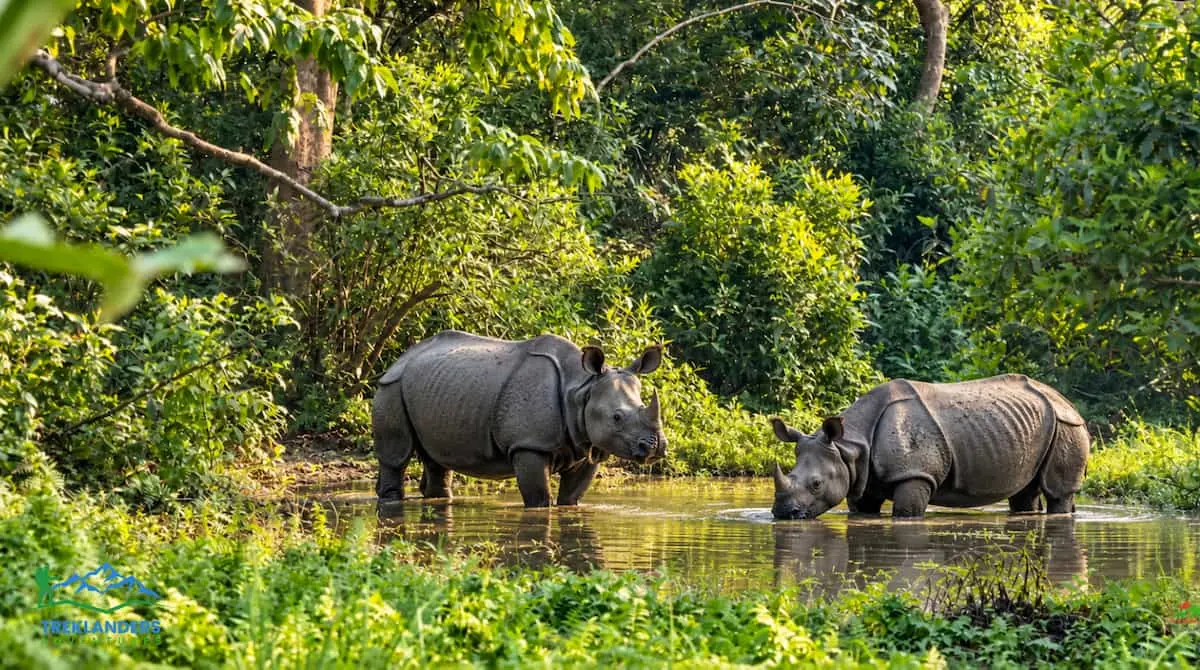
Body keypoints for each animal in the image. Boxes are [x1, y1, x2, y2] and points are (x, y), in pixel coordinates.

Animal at [372, 330, 666, 507]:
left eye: (642, 406)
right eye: (617, 417)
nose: (655, 447)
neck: (581, 388)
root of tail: (402, 357)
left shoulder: (587, 445)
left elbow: (571, 497)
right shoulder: (528, 444)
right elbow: (539, 498)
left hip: (436, 386)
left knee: (437, 459)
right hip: (391, 386)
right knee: (396, 456)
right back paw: (391, 502)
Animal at [770, 375, 1090, 519]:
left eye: (816, 484)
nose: (783, 513)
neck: (850, 445)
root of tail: (1069, 403)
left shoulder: (915, 473)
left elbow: (906, 511)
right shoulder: (861, 476)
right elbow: (863, 509)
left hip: (1067, 427)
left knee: (1057, 491)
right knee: (1026, 491)